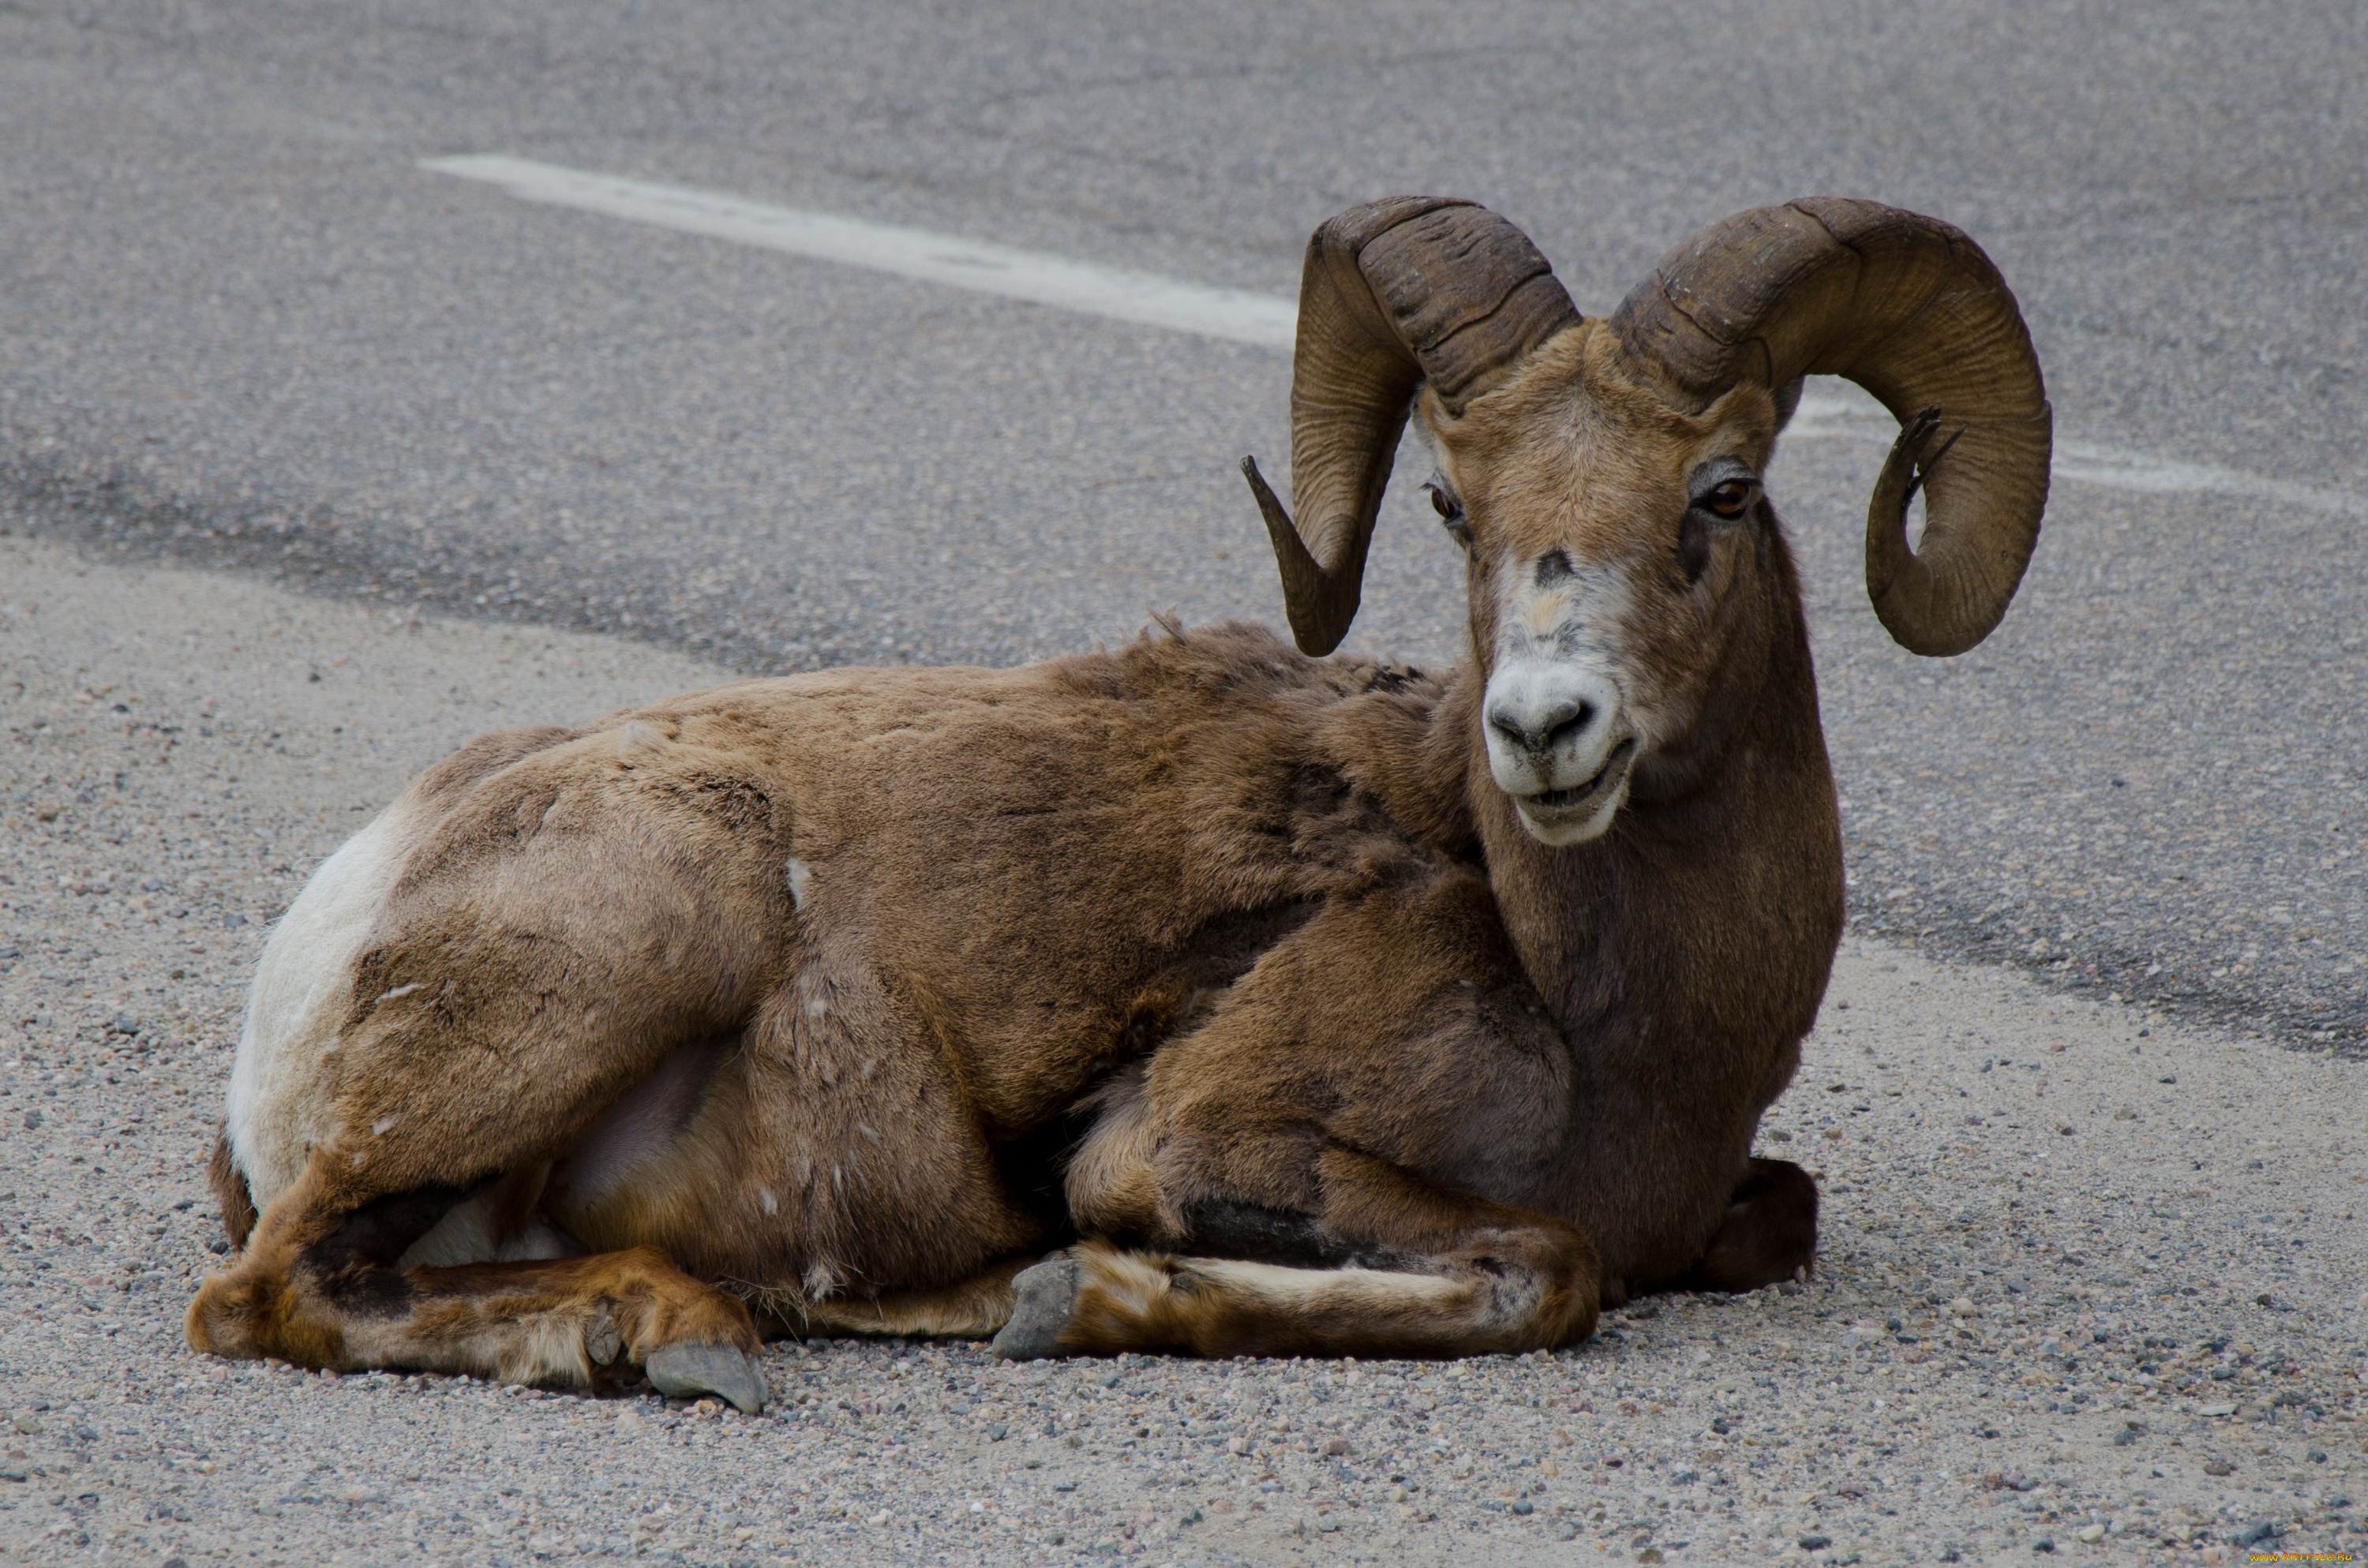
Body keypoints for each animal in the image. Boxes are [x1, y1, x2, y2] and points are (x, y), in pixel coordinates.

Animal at [189, 193, 2036, 1411]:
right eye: (1457, 506)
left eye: (1721, 491)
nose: (1546, 730)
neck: (1621, 1020)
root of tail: (340, 908)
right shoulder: (1187, 1140)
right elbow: (1546, 1266)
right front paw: (1068, 1298)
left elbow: (1773, 1216)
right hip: (637, 936)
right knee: (266, 1295)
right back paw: (673, 1335)